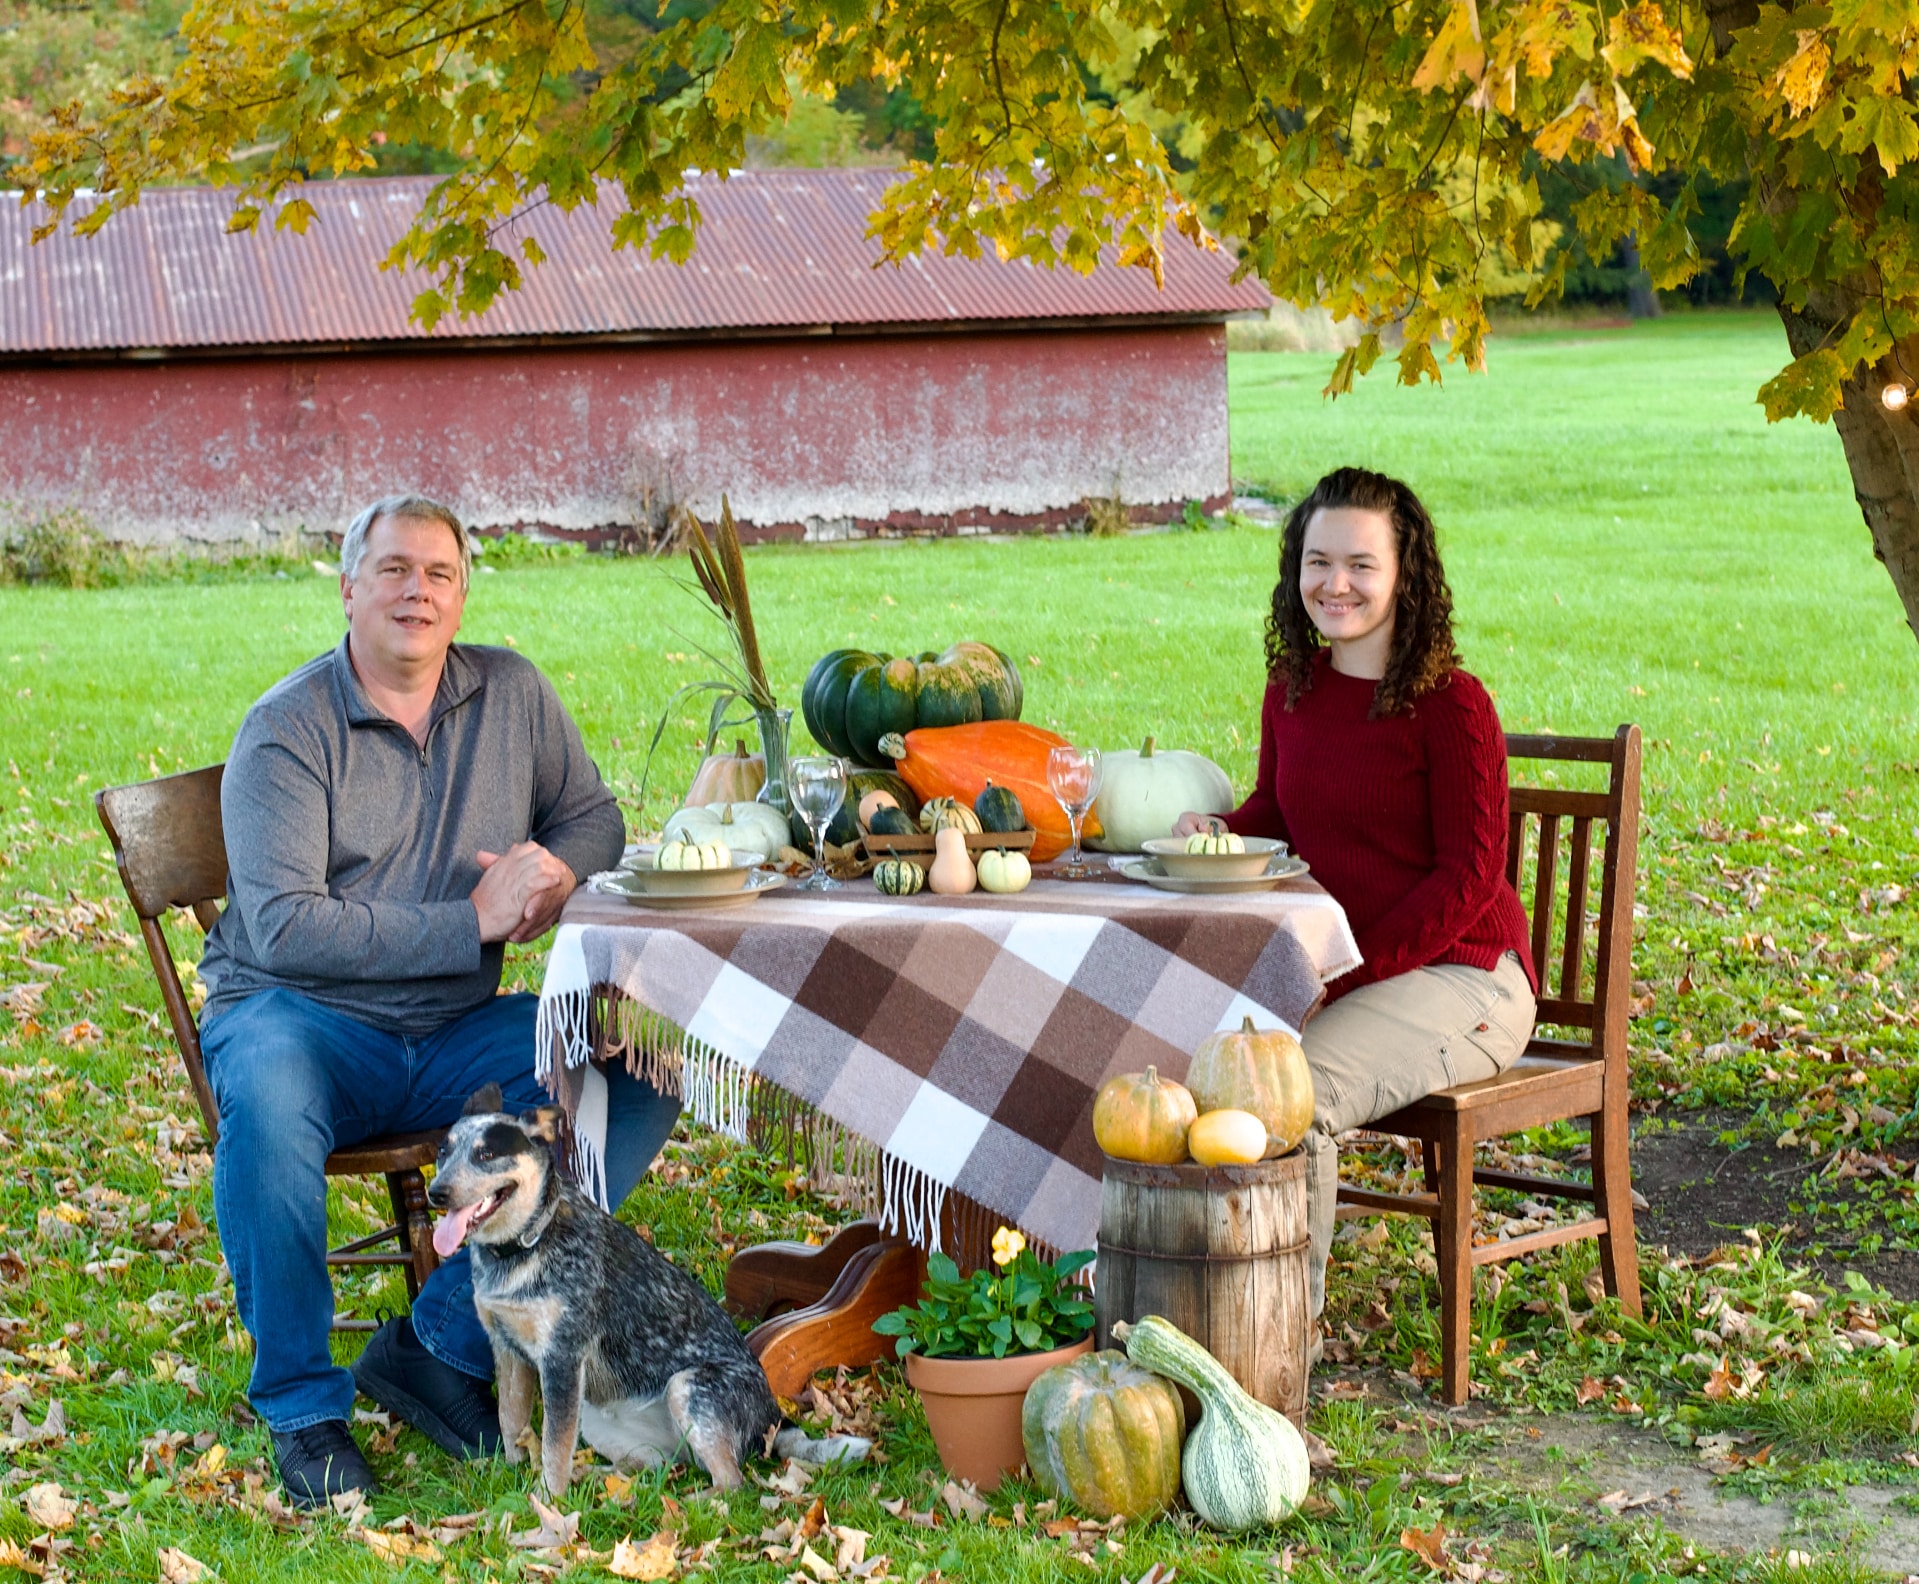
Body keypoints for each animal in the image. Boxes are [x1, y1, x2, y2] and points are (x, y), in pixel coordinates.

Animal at [427, 1082, 871, 1489]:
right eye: (443, 1152)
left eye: (486, 1154)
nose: (436, 1192)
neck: (525, 1245)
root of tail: (775, 1417)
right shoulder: (506, 1349)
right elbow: (511, 1422)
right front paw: (511, 1481)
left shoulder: (562, 1358)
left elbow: (553, 1446)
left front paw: (549, 1503)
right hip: (598, 1418)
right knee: (654, 1468)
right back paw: (601, 1482)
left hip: (686, 1387)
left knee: (731, 1484)